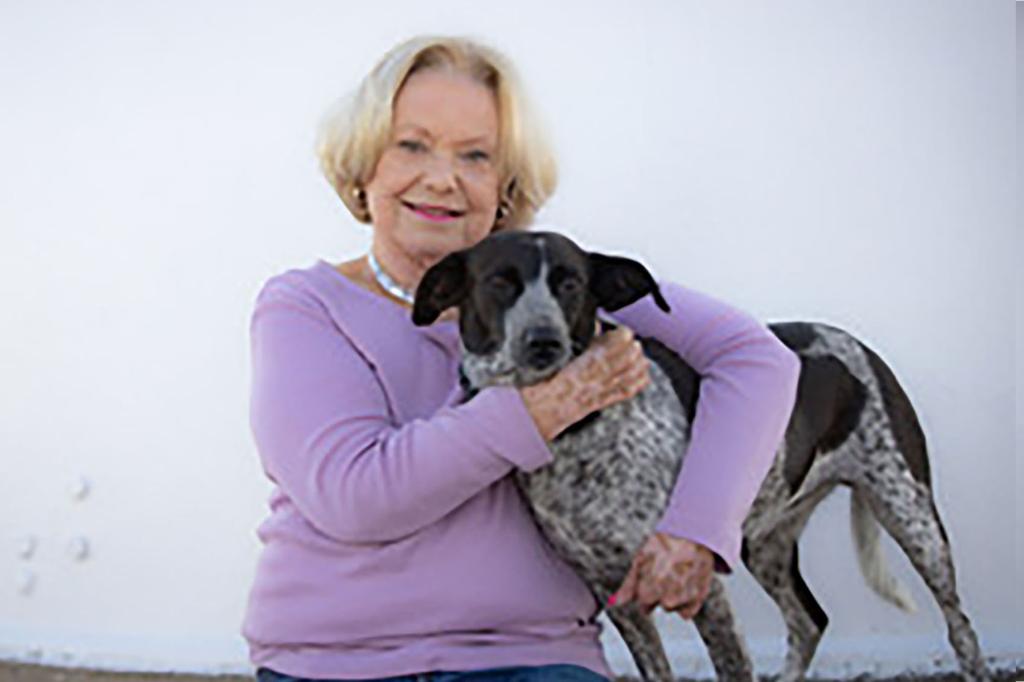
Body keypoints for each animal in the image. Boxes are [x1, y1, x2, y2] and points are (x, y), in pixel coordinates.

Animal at [409, 229, 991, 679]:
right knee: (809, 621)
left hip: (912, 515)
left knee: (960, 626)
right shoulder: (614, 592)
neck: (577, 433)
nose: (543, 342)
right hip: (763, 543)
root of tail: (854, 342)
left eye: (571, 283)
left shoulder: (700, 586)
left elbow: (731, 665)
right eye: (499, 282)